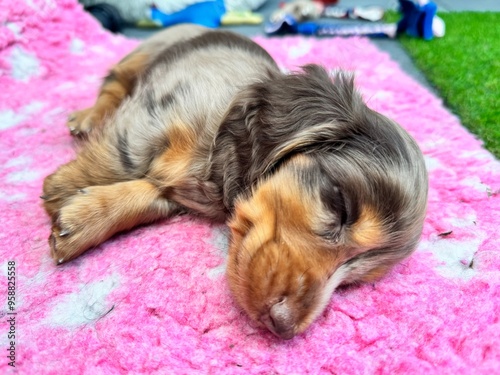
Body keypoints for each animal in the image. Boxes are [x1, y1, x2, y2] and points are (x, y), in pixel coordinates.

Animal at [41, 23, 428, 340]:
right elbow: (119, 159)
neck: (220, 142)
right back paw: (86, 118)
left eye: (352, 280)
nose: (283, 327)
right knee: (113, 84)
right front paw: (59, 187)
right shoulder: (151, 117)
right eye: (340, 205)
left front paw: (83, 220)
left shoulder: (178, 191)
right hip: (142, 57)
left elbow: (147, 196)